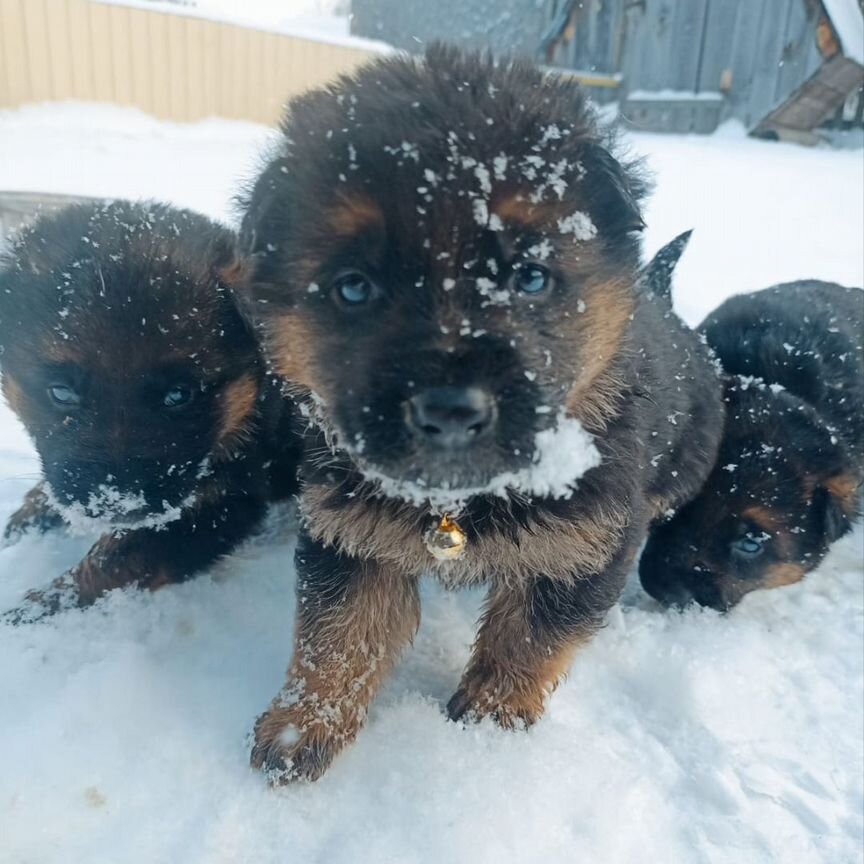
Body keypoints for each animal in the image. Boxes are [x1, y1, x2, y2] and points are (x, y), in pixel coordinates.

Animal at [0, 202, 302, 620]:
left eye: (178, 395)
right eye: (60, 392)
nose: (117, 502)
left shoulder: (226, 502)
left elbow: (112, 561)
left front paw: (30, 614)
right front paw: (27, 518)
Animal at [235, 47, 724, 784]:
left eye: (529, 277)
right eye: (354, 288)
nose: (450, 410)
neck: (461, 501)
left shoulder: (587, 541)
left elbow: (528, 637)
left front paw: (489, 726)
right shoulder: (350, 534)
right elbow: (338, 632)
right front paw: (302, 727)